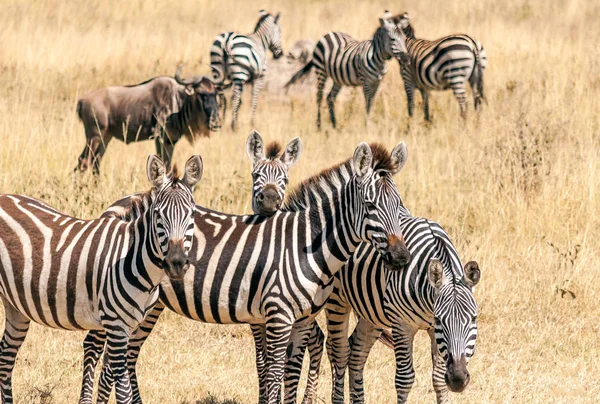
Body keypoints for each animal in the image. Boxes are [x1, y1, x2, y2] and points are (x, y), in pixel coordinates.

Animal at [0, 155, 202, 404]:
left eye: (192, 215)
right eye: (158, 214)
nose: (176, 262)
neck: (133, 257)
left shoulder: (130, 325)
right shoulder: (115, 325)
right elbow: (123, 391)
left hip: (15, 305)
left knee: (6, 355)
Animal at [88, 140, 412, 402]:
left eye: (399, 205)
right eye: (370, 205)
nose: (400, 257)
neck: (306, 243)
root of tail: (117, 206)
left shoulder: (300, 320)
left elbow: (289, 372)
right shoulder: (278, 315)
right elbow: (273, 374)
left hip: (146, 304)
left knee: (125, 357)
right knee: (103, 355)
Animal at [324, 216, 482, 402]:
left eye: (473, 318)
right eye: (439, 320)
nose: (457, 379)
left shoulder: (434, 332)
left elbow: (439, 379)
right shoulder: (402, 325)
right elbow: (404, 379)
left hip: (372, 313)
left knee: (357, 353)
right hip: (336, 299)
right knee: (337, 350)